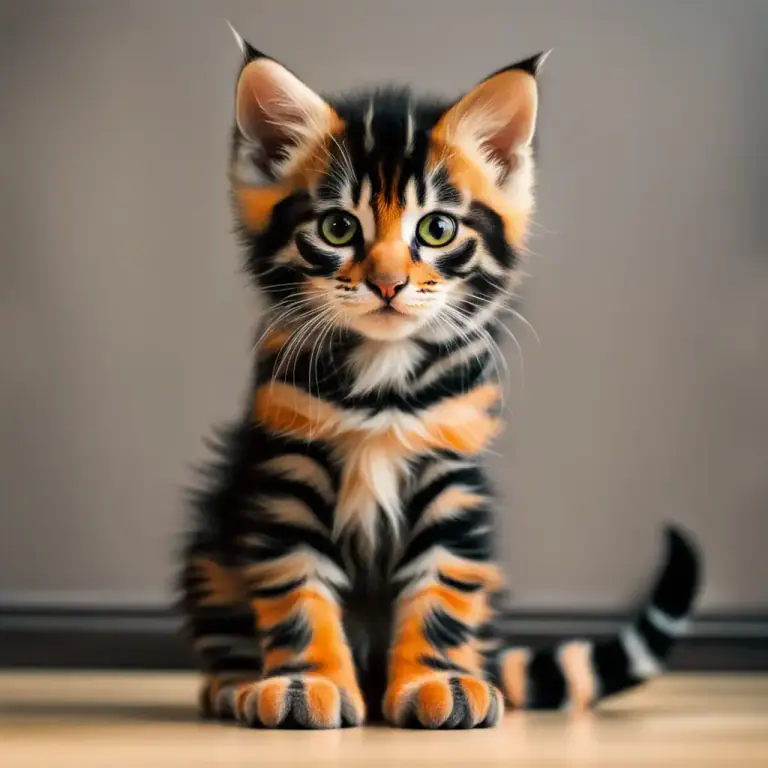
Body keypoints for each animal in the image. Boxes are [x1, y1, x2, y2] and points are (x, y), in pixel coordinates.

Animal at [178, 28, 701, 730]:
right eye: (338, 227)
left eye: (437, 228)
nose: (388, 282)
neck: (383, 382)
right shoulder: (286, 473)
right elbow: (296, 589)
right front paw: (303, 682)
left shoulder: (453, 477)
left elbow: (442, 590)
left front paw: (440, 682)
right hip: (210, 536)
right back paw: (234, 683)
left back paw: (478, 675)